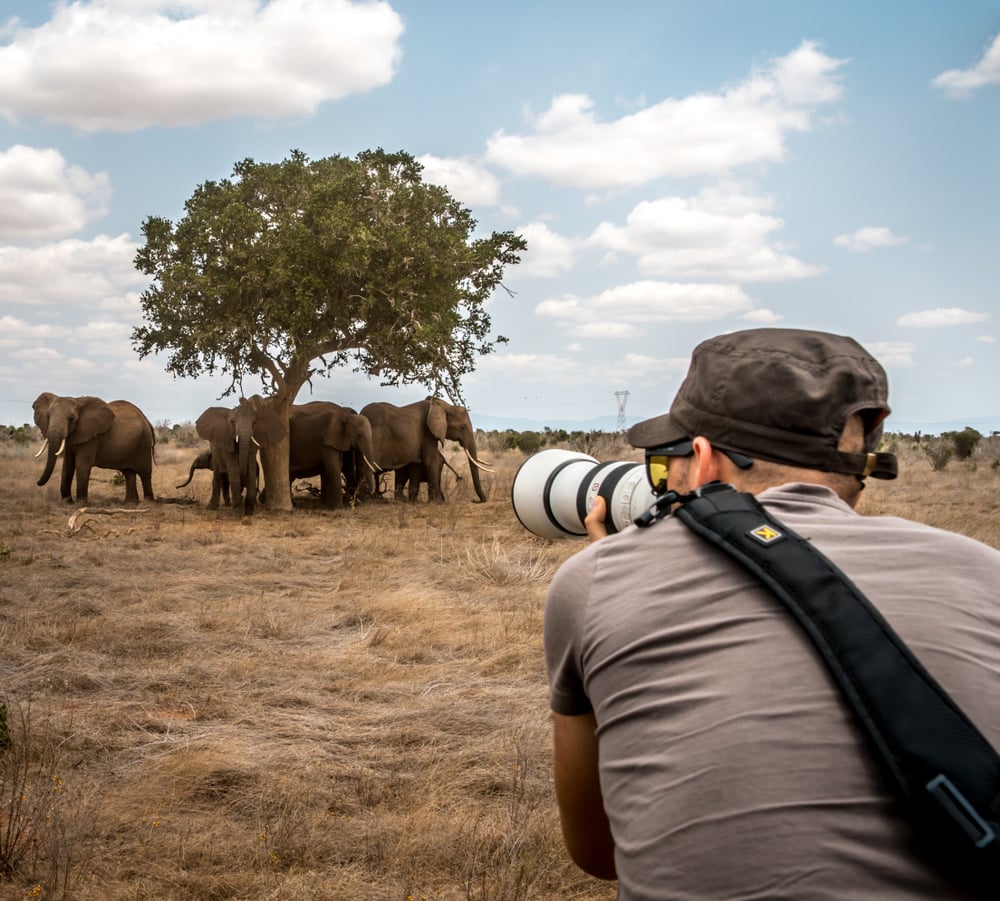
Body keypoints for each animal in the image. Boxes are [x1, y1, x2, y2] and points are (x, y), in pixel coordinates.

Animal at [360, 398, 492, 502]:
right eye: (463, 427)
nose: (475, 500)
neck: (442, 406)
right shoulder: (427, 433)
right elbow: (430, 461)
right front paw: (436, 503)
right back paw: (365, 500)